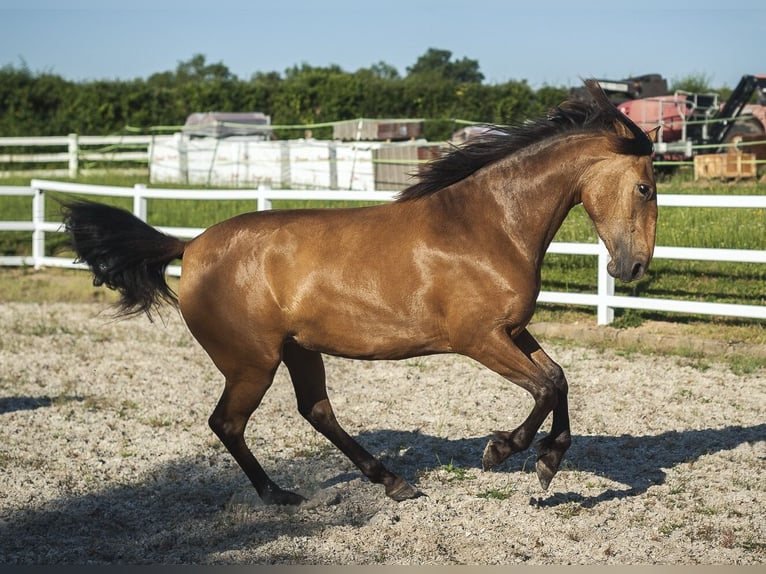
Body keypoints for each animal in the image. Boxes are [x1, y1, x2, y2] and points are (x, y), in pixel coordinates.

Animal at [62, 80, 659, 506]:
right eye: (645, 186)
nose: (632, 267)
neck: (487, 224)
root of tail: (189, 247)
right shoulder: (478, 339)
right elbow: (544, 388)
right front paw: (504, 451)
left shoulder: (512, 330)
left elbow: (558, 378)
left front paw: (547, 461)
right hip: (251, 362)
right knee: (227, 423)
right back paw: (280, 494)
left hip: (299, 350)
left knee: (316, 411)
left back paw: (392, 481)